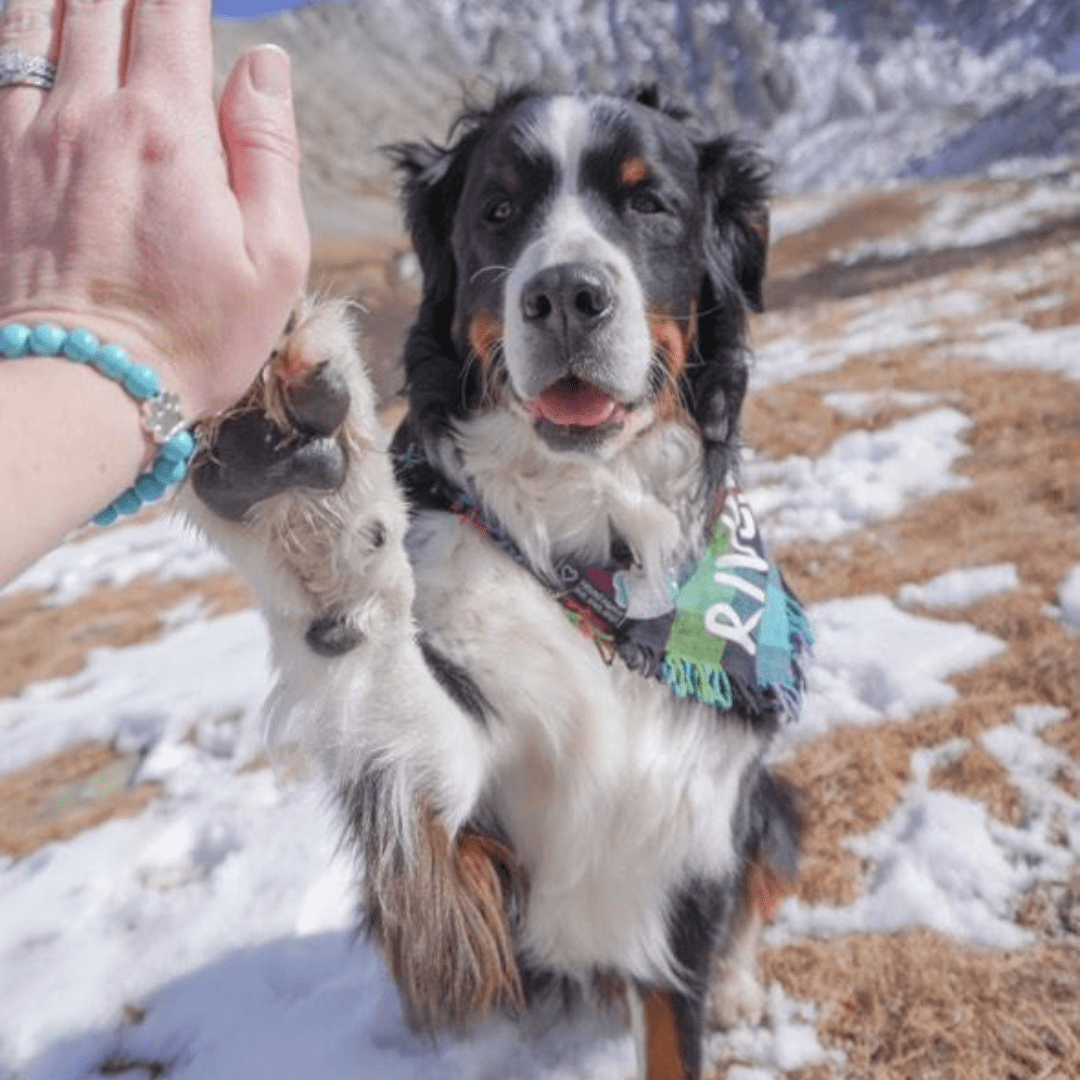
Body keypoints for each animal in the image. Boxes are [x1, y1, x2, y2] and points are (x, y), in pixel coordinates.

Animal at [181, 86, 812, 1080]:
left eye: (649, 202)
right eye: (500, 211)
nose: (565, 297)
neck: (594, 550)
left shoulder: (693, 821)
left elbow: (684, 1010)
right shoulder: (469, 833)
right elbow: (391, 693)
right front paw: (305, 514)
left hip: (772, 803)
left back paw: (744, 987)